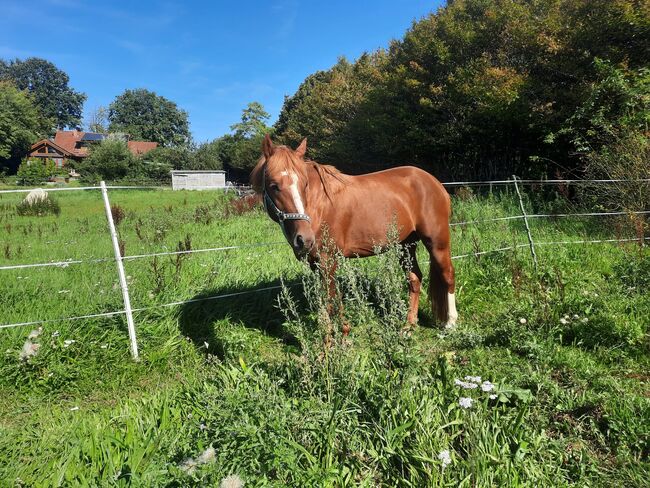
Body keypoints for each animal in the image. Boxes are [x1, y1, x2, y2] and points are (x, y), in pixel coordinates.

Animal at [248, 135, 456, 330]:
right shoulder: (314, 263)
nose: (304, 239)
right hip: (406, 245)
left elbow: (331, 301)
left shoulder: (328, 260)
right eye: (274, 185)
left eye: (305, 184)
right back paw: (409, 325)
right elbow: (323, 302)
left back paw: (450, 323)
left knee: (448, 274)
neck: (318, 204)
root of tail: (435, 183)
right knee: (414, 279)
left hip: (437, 242)